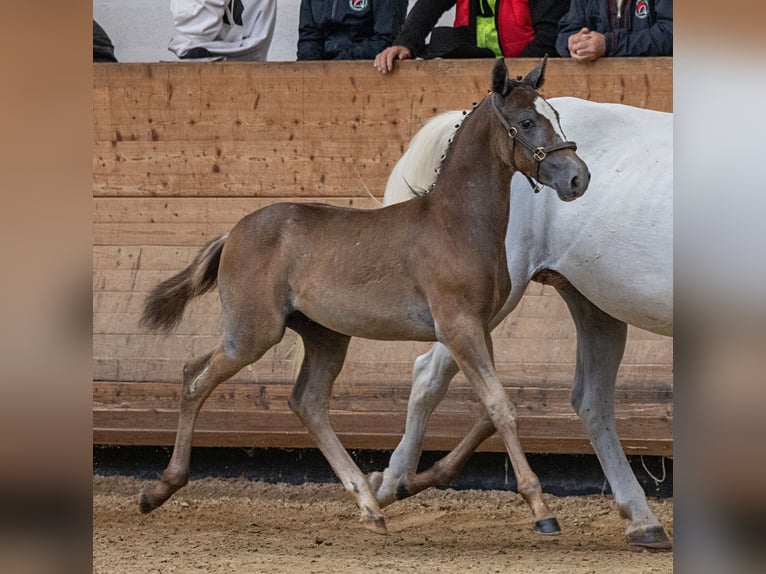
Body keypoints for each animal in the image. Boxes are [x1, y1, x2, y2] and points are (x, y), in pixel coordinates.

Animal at [376, 97, 676, 552]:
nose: (576, 178)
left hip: (594, 306)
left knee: (592, 401)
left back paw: (643, 522)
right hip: (485, 301)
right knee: (429, 374)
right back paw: (388, 486)